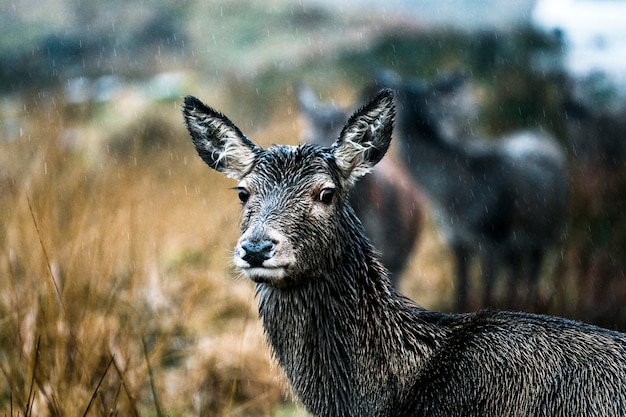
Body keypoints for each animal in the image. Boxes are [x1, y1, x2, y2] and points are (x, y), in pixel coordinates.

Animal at [366, 70, 572, 312]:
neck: (455, 199)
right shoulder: (457, 238)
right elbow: (461, 292)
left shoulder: (493, 237)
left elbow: (488, 294)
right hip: (519, 244)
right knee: (517, 276)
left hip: (547, 232)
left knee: (533, 274)